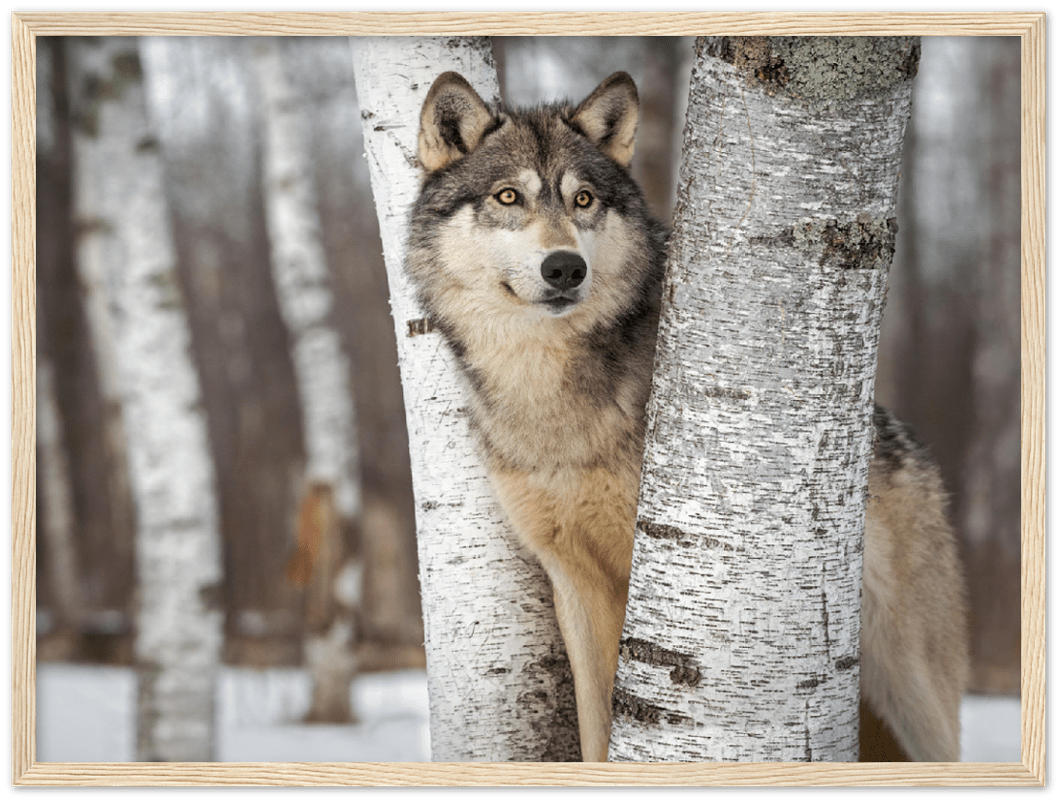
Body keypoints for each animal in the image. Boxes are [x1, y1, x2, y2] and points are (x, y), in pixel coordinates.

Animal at [406, 70, 968, 763]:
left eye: (584, 199)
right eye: (508, 196)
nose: (565, 267)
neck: (550, 396)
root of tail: (908, 443)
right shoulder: (575, 582)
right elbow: (596, 730)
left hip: (913, 694)